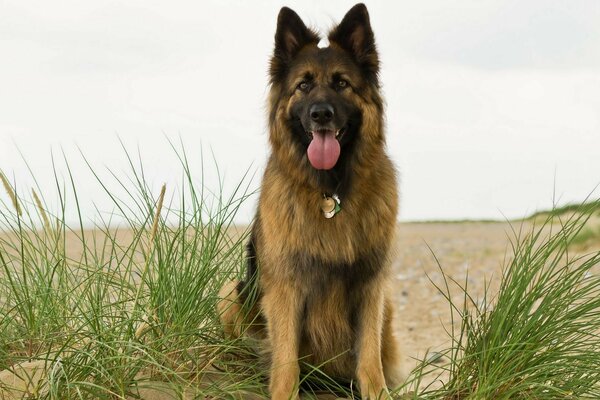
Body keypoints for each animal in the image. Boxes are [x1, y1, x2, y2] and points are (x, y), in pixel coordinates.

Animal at [218, 3, 400, 400]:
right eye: (303, 85)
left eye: (342, 83)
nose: (321, 114)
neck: (330, 193)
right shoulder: (285, 288)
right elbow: (286, 360)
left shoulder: (371, 286)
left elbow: (369, 357)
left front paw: (377, 391)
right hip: (231, 293)